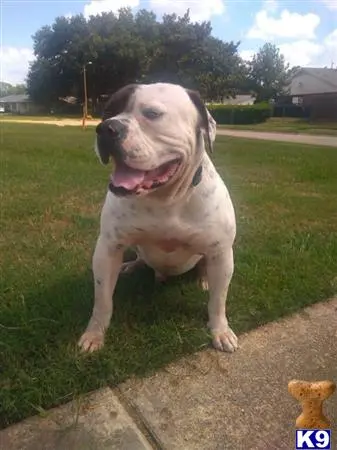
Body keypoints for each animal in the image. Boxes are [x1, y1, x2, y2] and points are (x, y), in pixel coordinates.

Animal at [78, 82, 238, 354]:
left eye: (152, 114)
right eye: (107, 111)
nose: (107, 128)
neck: (165, 198)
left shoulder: (222, 252)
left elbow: (218, 301)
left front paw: (220, 331)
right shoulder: (108, 248)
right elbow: (102, 300)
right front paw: (95, 334)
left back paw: (204, 279)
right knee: (141, 259)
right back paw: (131, 266)